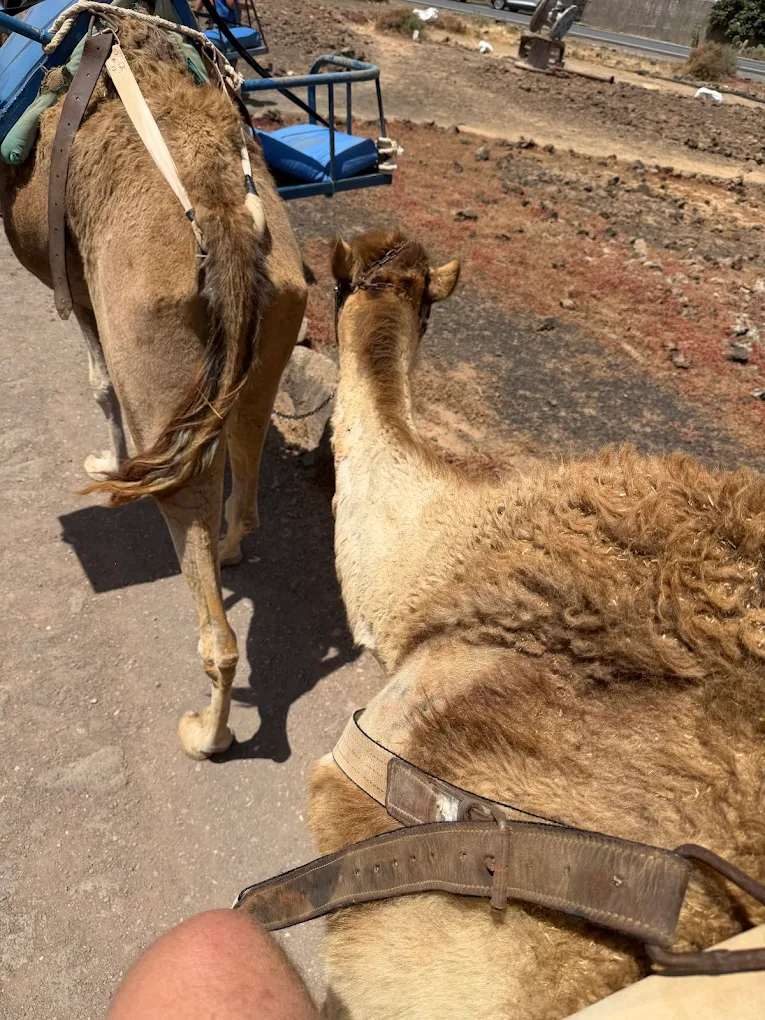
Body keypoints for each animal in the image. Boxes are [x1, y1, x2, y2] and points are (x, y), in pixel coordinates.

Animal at [0, 20, 307, 758]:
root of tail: (224, 217)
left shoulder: (85, 293)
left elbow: (100, 384)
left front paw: (106, 465)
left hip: (156, 357)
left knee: (206, 588)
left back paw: (208, 733)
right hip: (273, 326)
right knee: (247, 441)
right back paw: (232, 545)